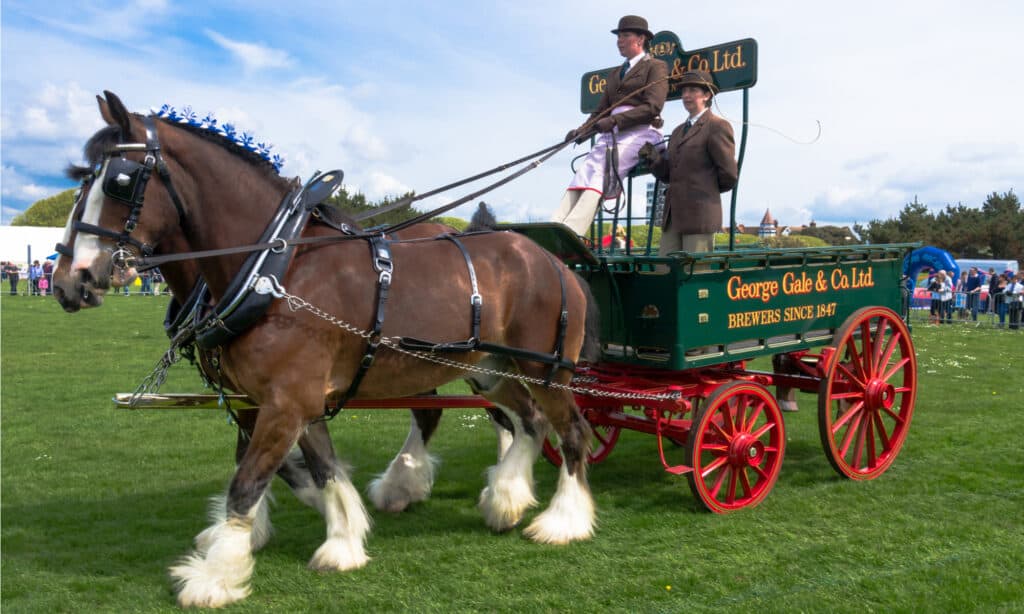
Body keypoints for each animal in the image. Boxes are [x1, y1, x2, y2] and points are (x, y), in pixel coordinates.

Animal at [54, 92, 598, 609]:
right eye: (81, 180)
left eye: (120, 181)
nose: (68, 282)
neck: (272, 268)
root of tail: (554, 261)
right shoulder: (272, 400)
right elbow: (318, 467)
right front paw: (341, 538)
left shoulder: (286, 402)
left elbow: (248, 480)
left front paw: (216, 574)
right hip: (488, 367)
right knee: (528, 420)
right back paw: (503, 498)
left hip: (546, 369)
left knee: (569, 429)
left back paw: (562, 520)